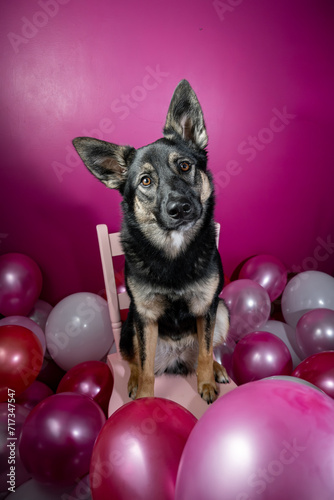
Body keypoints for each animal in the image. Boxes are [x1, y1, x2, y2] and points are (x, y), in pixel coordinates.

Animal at [72, 80, 230, 404]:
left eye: (184, 166)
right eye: (145, 181)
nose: (179, 208)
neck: (174, 251)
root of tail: (176, 357)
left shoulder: (207, 307)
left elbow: (206, 352)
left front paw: (207, 383)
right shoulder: (144, 317)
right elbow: (144, 367)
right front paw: (145, 400)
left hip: (222, 311)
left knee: (207, 350)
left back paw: (217, 369)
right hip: (129, 326)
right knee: (134, 359)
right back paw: (132, 382)